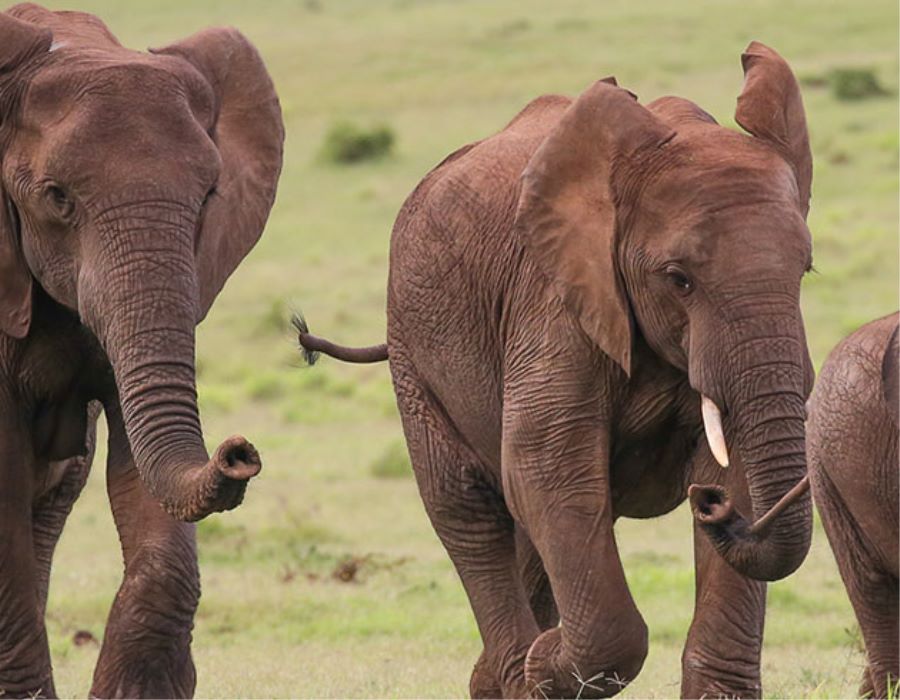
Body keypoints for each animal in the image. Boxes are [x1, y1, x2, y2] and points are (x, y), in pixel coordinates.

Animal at [297, 41, 814, 698]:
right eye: (679, 280)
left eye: (805, 269)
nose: (709, 505)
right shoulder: (553, 300)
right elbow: (546, 464)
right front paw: (544, 663)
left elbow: (735, 462)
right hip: (413, 346)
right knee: (467, 506)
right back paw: (515, 666)